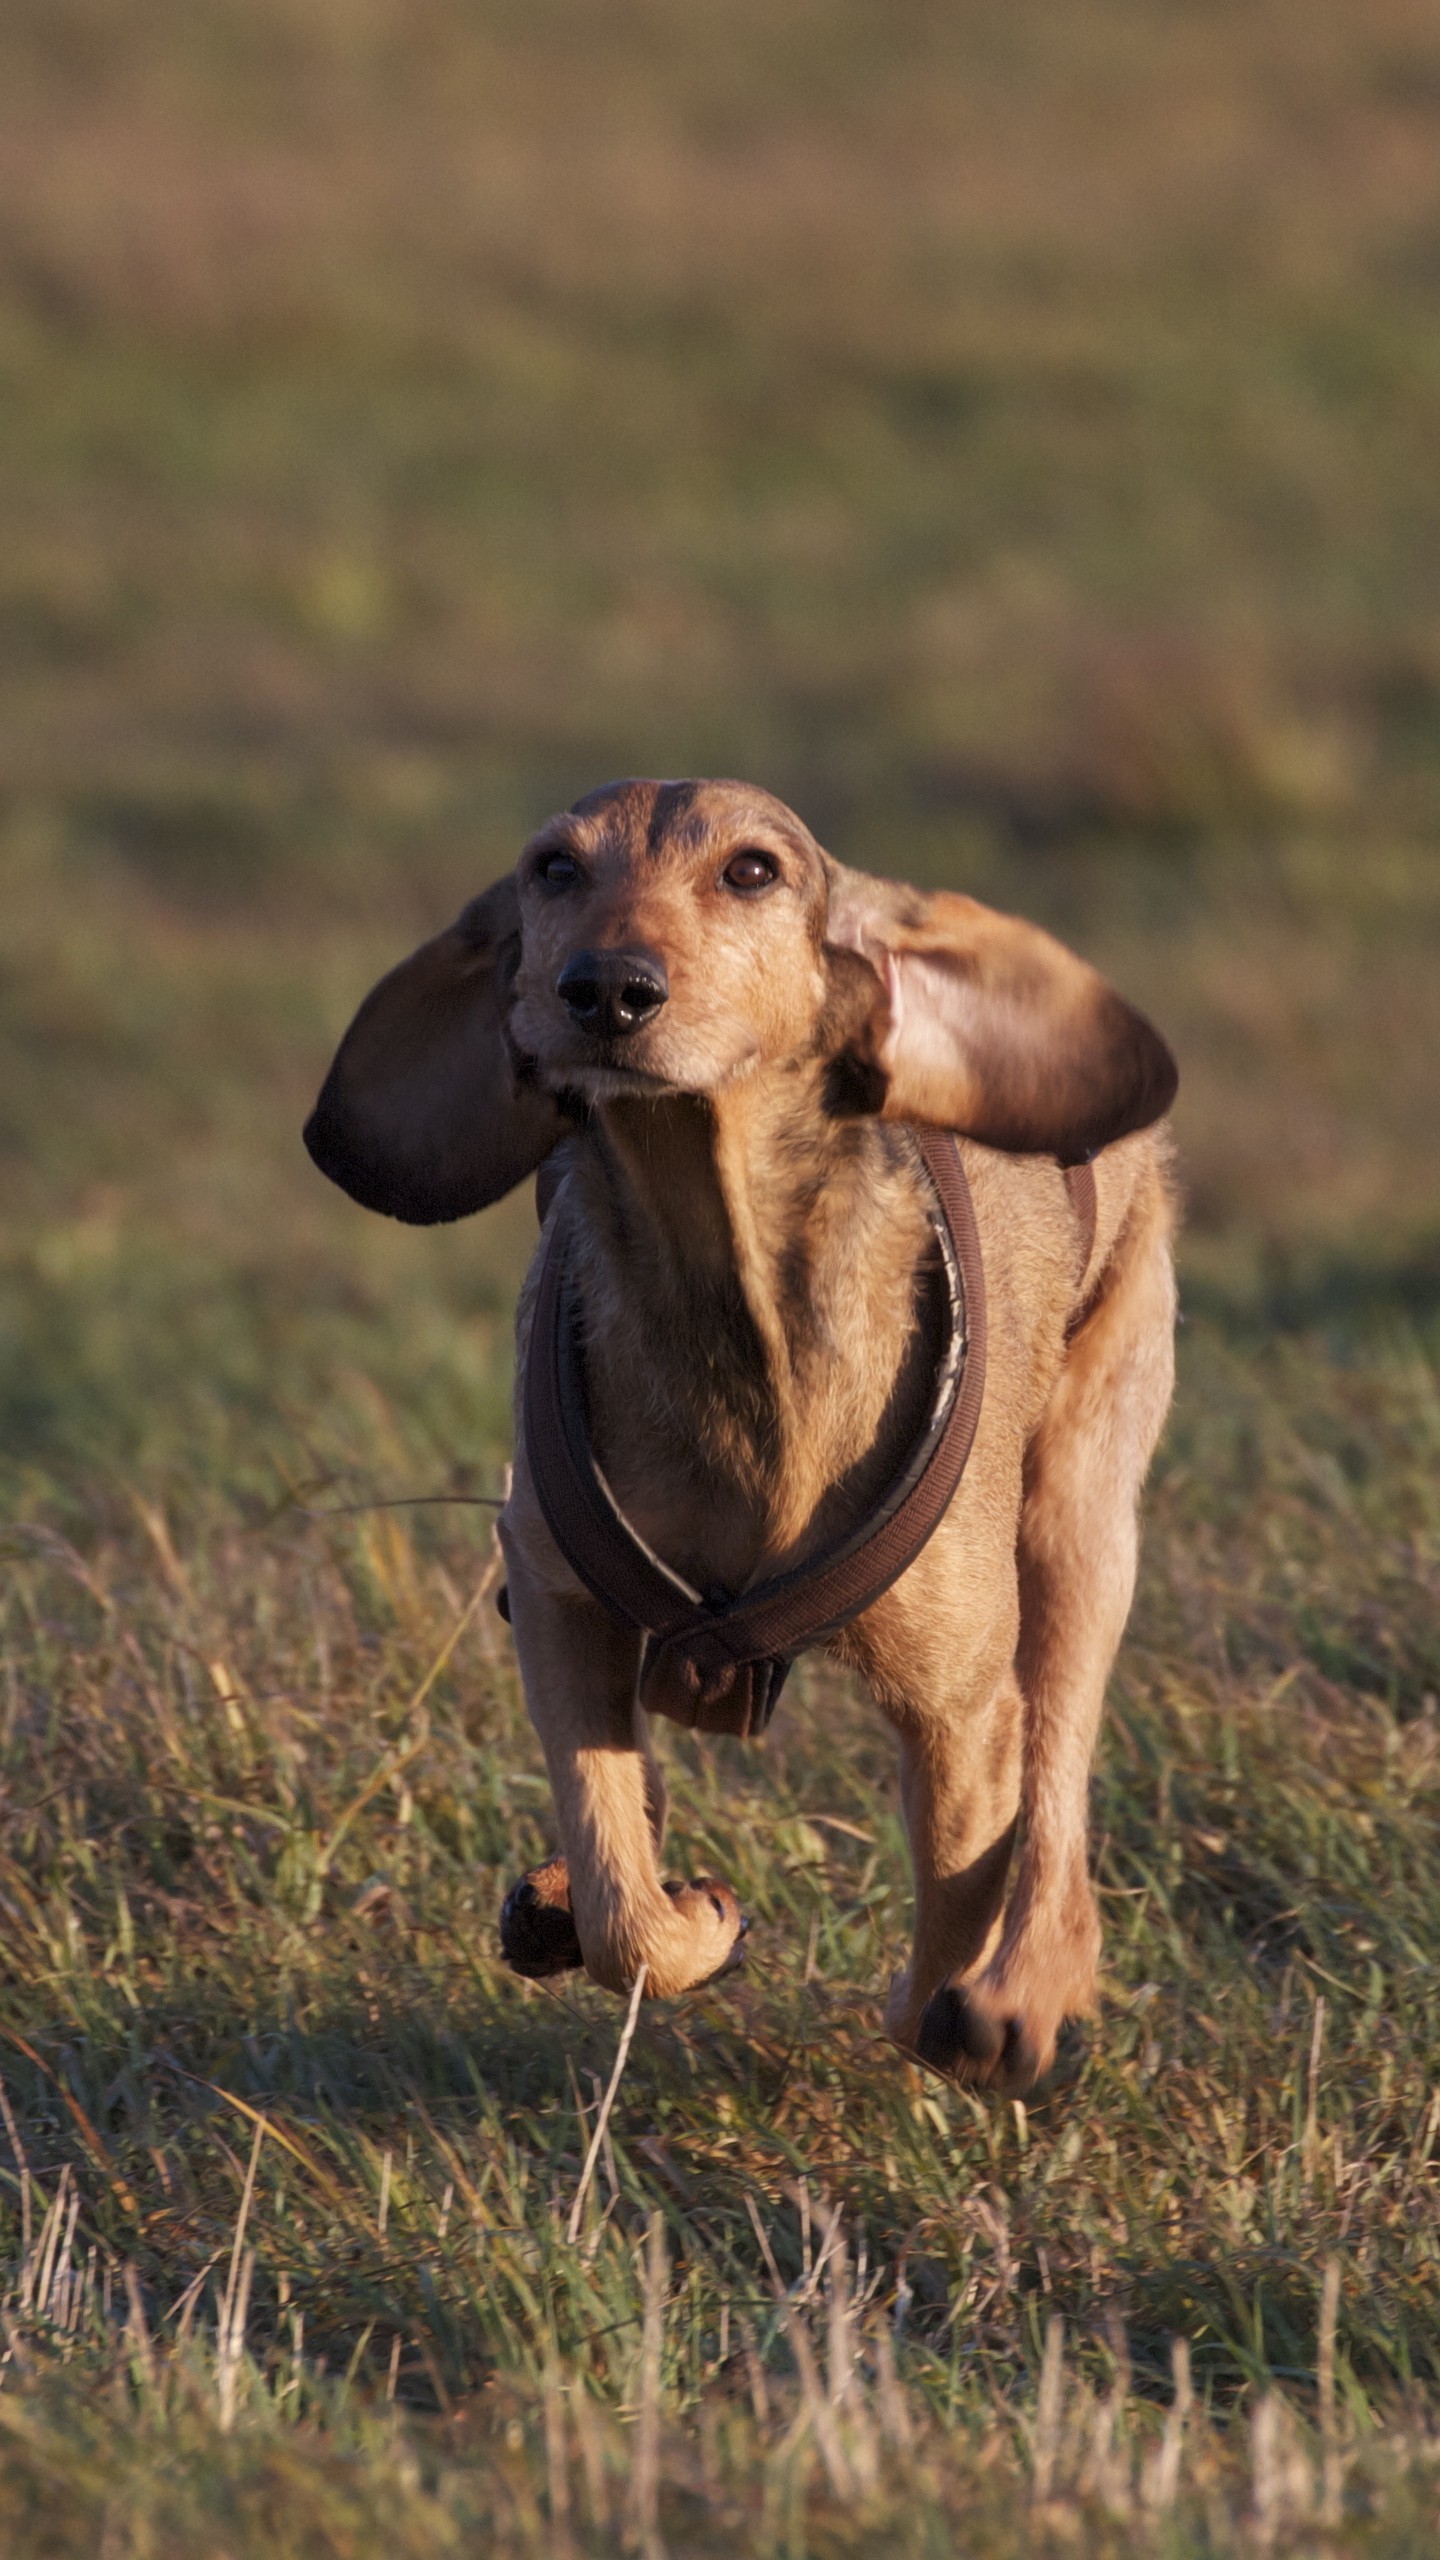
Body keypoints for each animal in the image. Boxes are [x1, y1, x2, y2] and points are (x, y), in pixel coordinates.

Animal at [308, 783, 1173, 2099]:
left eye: (754, 870)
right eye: (553, 868)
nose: (607, 988)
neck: (726, 1287)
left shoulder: (960, 1707)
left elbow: (955, 1903)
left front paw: (954, 2006)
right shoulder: (554, 1599)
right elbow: (621, 1894)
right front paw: (677, 1915)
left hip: (1081, 1513)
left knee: (1061, 1776)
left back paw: (1028, 1991)